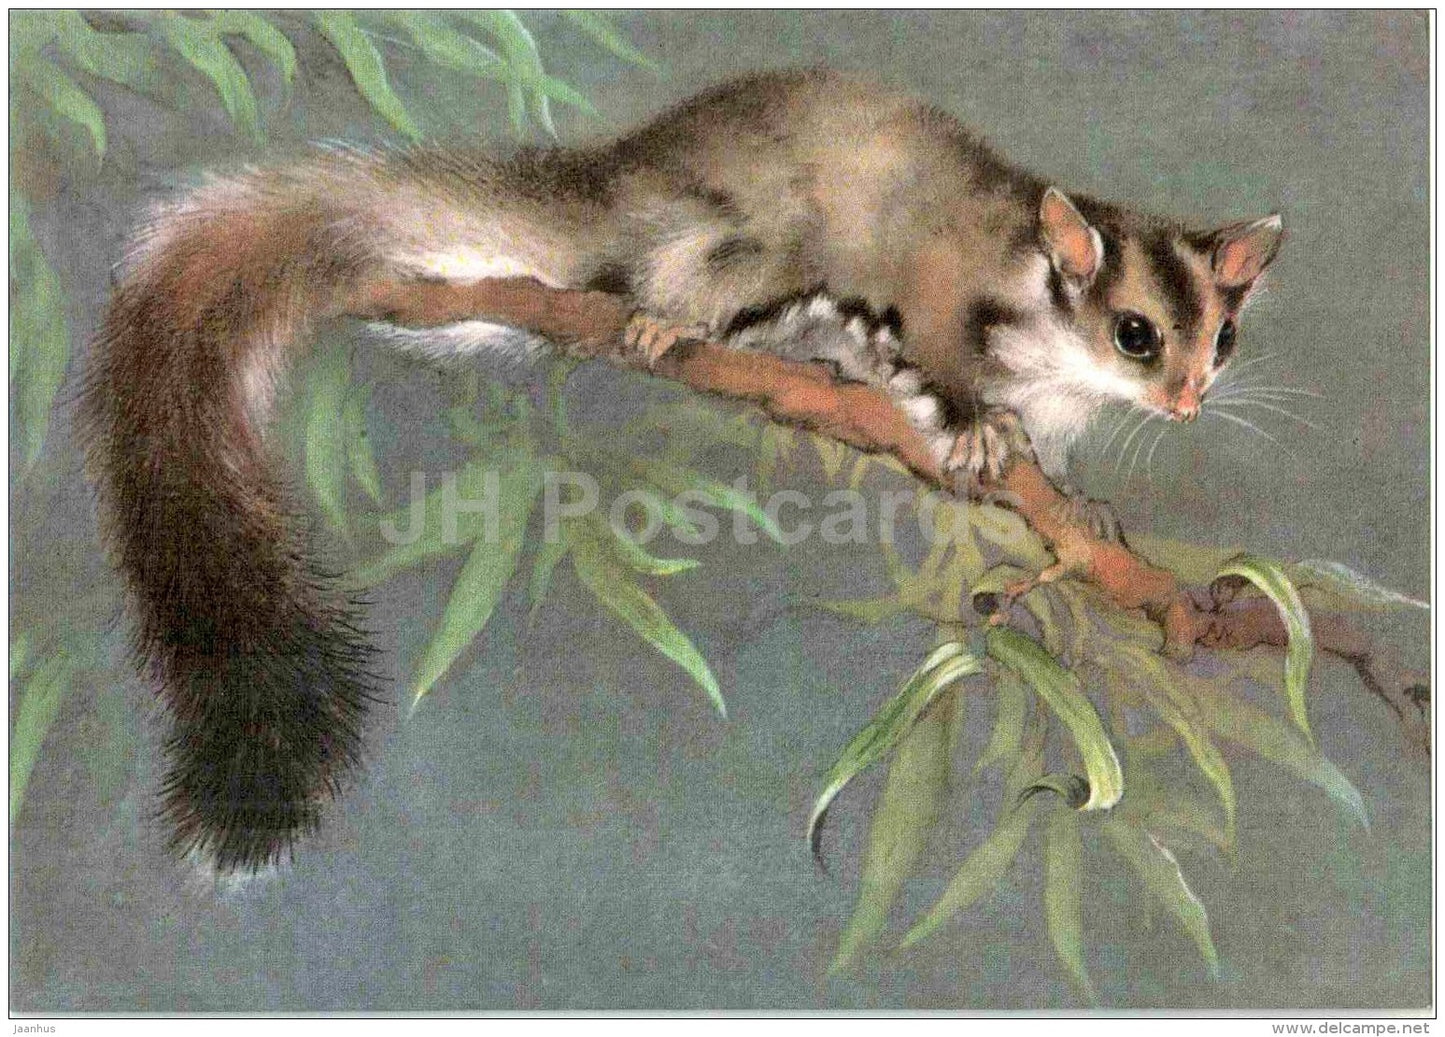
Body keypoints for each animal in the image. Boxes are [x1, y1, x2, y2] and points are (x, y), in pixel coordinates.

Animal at [80, 69, 1283, 874]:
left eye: (1220, 340)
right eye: (1135, 333)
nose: (1186, 400)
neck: (1056, 351)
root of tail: (621, 172)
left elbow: (1064, 483)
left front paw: (1083, 509)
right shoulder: (944, 285)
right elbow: (940, 353)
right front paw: (979, 431)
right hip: (745, 233)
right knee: (691, 270)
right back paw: (673, 325)